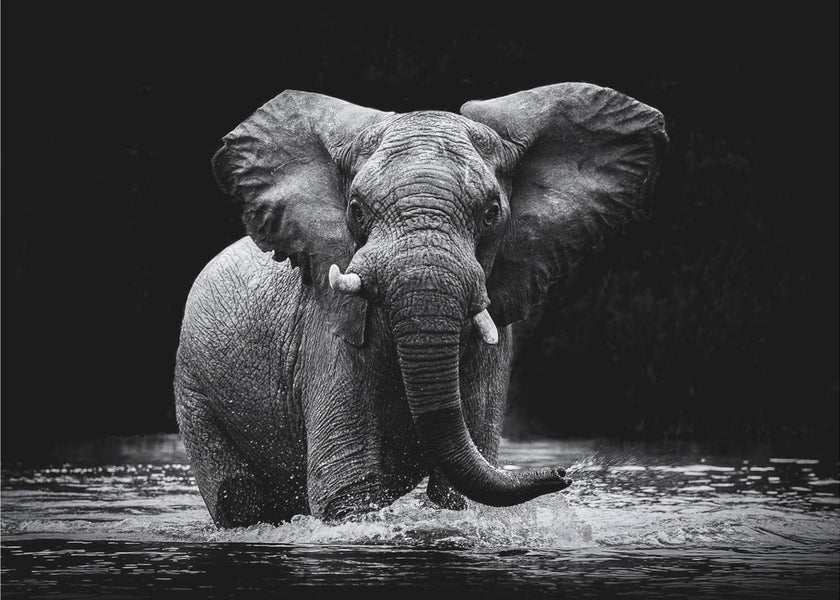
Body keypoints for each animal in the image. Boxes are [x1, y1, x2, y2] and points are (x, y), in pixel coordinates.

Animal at [174, 82, 667, 527]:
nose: (565, 472)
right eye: (356, 209)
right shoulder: (329, 330)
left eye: (492, 212)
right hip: (192, 387)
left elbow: (458, 493)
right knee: (236, 499)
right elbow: (347, 488)